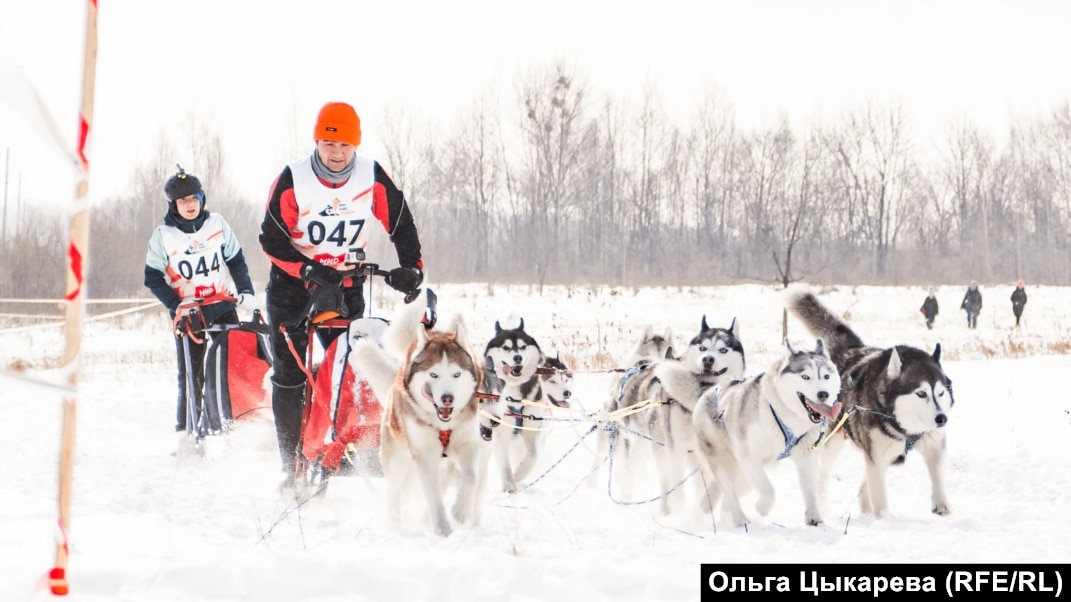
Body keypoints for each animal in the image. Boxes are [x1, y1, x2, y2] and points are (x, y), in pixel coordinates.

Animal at [351, 297, 481, 535]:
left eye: (456, 374)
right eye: (434, 374)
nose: (447, 398)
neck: (442, 425)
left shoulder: (468, 443)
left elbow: (470, 477)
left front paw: (461, 509)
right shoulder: (425, 455)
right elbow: (433, 496)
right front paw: (442, 530)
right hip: (396, 458)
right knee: (394, 493)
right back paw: (395, 524)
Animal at [694, 338, 843, 524]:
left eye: (826, 376)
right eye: (805, 377)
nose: (823, 394)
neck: (786, 416)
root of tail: (710, 391)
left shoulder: (806, 456)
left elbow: (810, 490)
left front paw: (814, 518)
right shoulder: (750, 457)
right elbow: (768, 490)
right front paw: (762, 508)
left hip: (744, 474)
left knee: (727, 490)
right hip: (727, 462)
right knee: (729, 490)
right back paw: (740, 520)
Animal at [788, 289, 955, 516]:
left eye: (940, 392)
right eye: (921, 393)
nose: (941, 419)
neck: (904, 427)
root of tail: (851, 351)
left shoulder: (933, 444)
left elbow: (937, 473)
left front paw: (941, 504)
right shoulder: (877, 457)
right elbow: (880, 498)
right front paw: (883, 519)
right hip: (835, 440)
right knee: (824, 473)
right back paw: (822, 503)